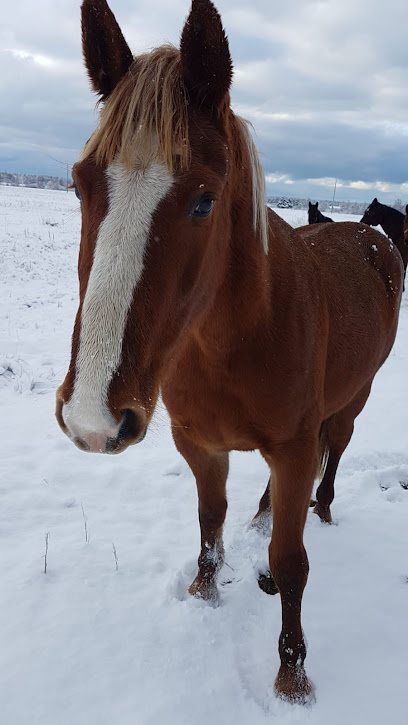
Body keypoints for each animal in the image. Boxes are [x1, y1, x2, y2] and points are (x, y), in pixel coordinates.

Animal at [55, 0, 404, 704]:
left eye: (204, 199)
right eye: (79, 185)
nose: (92, 420)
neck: (238, 339)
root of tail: (373, 236)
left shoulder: (294, 447)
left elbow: (291, 565)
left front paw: (293, 676)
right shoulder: (199, 444)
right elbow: (209, 521)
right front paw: (204, 590)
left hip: (354, 398)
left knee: (334, 450)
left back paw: (322, 506)